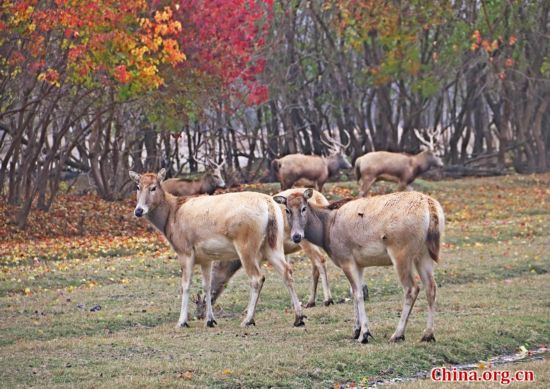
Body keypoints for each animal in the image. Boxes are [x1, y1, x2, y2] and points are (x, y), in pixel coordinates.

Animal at [132, 167, 308, 328]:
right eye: (138, 186)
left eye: (153, 187)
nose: (138, 210)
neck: (170, 218)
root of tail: (270, 206)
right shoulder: (206, 258)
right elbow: (207, 286)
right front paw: (210, 320)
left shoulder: (184, 250)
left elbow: (185, 285)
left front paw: (182, 322)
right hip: (273, 244)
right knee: (287, 271)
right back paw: (298, 318)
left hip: (246, 245)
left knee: (257, 277)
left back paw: (248, 320)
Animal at [274, 188, 446, 342]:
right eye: (287, 210)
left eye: (303, 208)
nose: (297, 236)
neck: (326, 231)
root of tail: (431, 207)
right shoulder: (359, 264)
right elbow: (354, 292)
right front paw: (356, 330)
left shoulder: (346, 259)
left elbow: (358, 294)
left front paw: (364, 334)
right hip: (423, 254)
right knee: (431, 287)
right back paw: (428, 334)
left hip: (401, 252)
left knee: (412, 289)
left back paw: (397, 334)